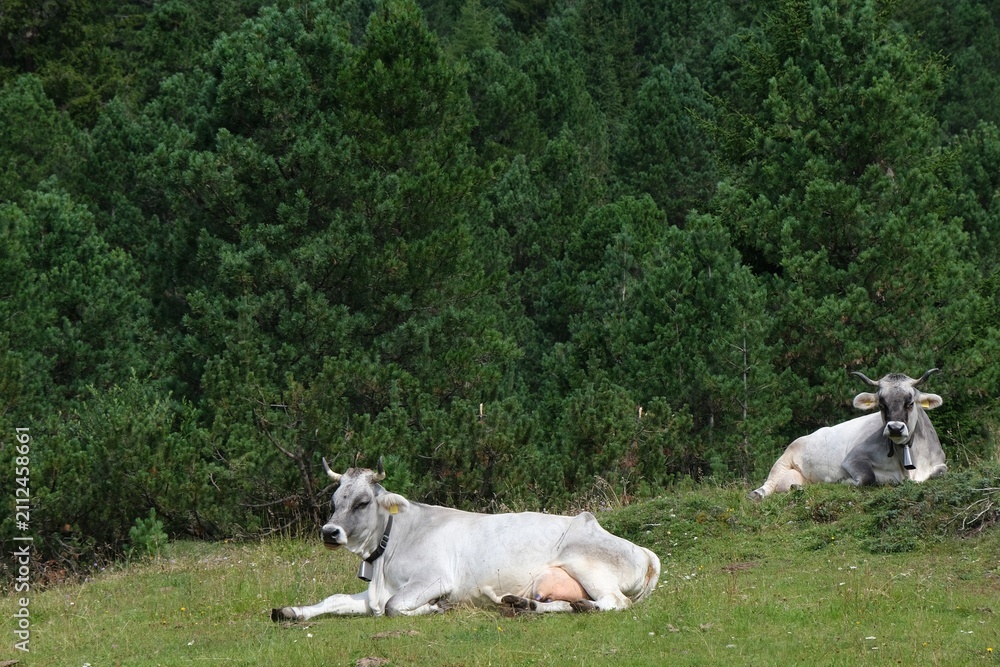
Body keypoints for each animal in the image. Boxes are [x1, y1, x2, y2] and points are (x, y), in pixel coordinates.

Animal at [271, 460, 660, 619]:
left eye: (363, 502)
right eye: (335, 501)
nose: (329, 532)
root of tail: (643, 551)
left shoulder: (433, 580)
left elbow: (394, 607)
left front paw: (435, 608)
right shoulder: (374, 594)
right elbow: (334, 600)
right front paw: (291, 611)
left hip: (588, 566)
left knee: (613, 603)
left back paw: (582, 607)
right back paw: (526, 606)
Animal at [749, 369, 946, 500]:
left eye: (910, 403)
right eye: (881, 404)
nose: (895, 428)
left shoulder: (939, 463)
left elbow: (941, 471)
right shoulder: (853, 458)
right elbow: (868, 478)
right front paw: (843, 480)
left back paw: (797, 487)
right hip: (784, 459)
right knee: (770, 481)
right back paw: (758, 493)